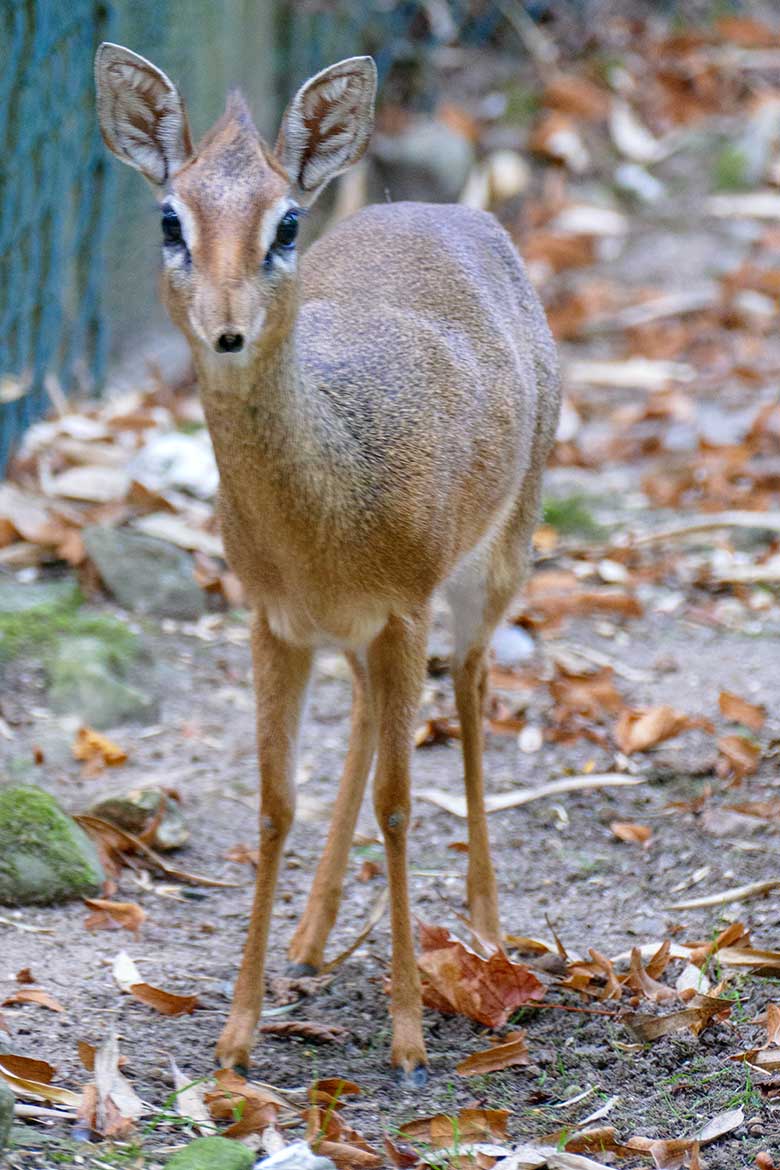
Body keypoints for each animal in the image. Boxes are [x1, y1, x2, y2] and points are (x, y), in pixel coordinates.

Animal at [95, 45, 561, 1081]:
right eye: (170, 218)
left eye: (287, 222)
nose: (226, 327)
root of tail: (461, 212)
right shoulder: (275, 622)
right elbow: (275, 805)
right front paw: (234, 1037)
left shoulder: (405, 606)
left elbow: (400, 802)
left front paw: (409, 1036)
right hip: (360, 638)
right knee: (364, 720)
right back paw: (311, 937)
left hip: (497, 560)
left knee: (473, 685)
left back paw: (488, 928)